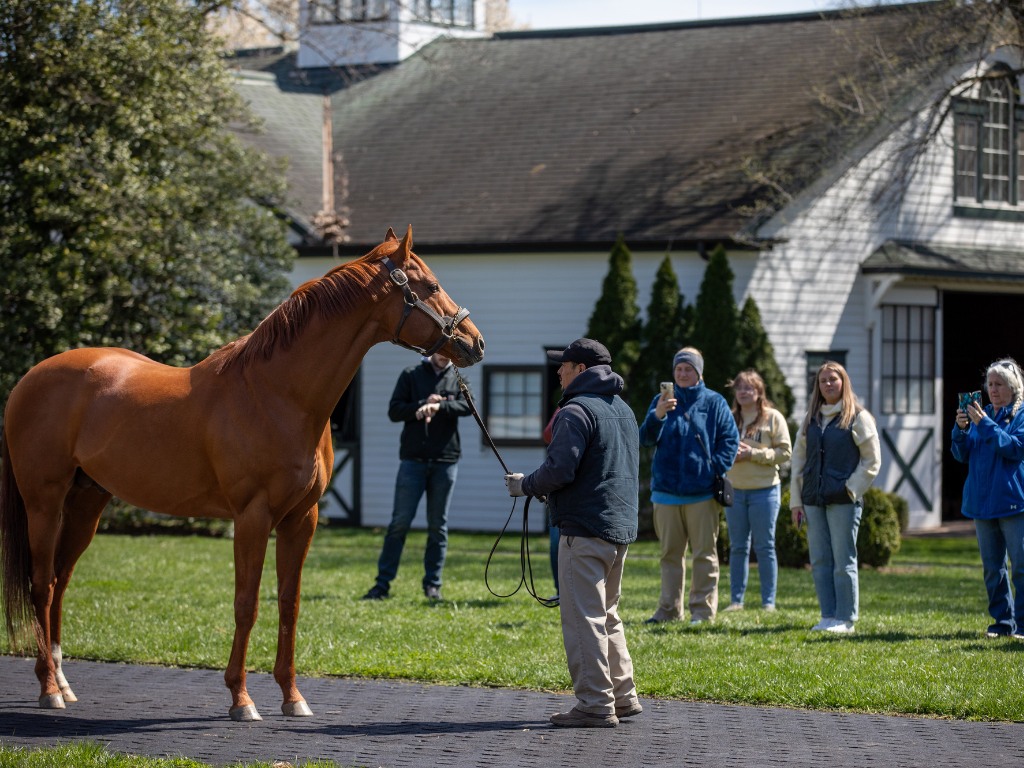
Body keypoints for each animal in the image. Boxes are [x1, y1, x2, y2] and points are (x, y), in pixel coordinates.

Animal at [0, 227, 483, 720]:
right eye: (430, 286)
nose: (475, 342)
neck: (277, 395)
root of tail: (29, 380)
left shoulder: (301, 519)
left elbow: (289, 604)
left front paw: (292, 696)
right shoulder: (252, 517)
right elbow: (246, 604)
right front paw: (241, 698)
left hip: (86, 502)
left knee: (59, 581)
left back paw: (63, 681)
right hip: (44, 503)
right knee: (41, 586)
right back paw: (48, 688)